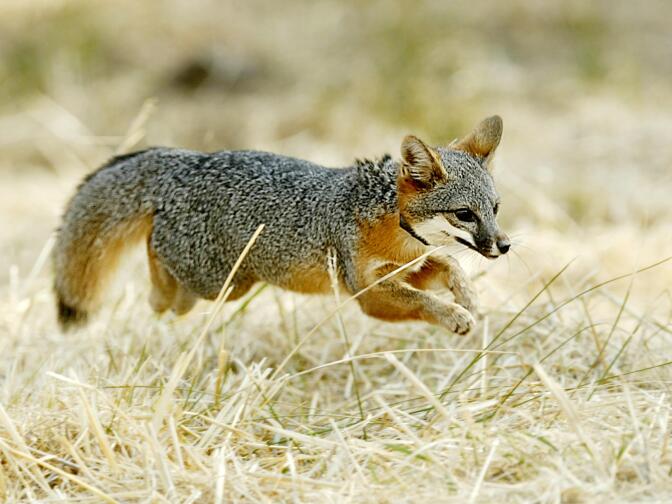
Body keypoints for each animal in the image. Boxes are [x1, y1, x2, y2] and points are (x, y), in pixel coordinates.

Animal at [53, 115, 510, 334]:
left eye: (495, 208)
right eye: (465, 214)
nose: (504, 246)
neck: (395, 230)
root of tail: (186, 163)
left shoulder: (406, 267)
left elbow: (450, 265)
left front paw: (468, 299)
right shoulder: (366, 291)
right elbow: (421, 299)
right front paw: (453, 314)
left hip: (224, 287)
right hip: (219, 284)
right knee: (159, 275)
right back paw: (153, 298)